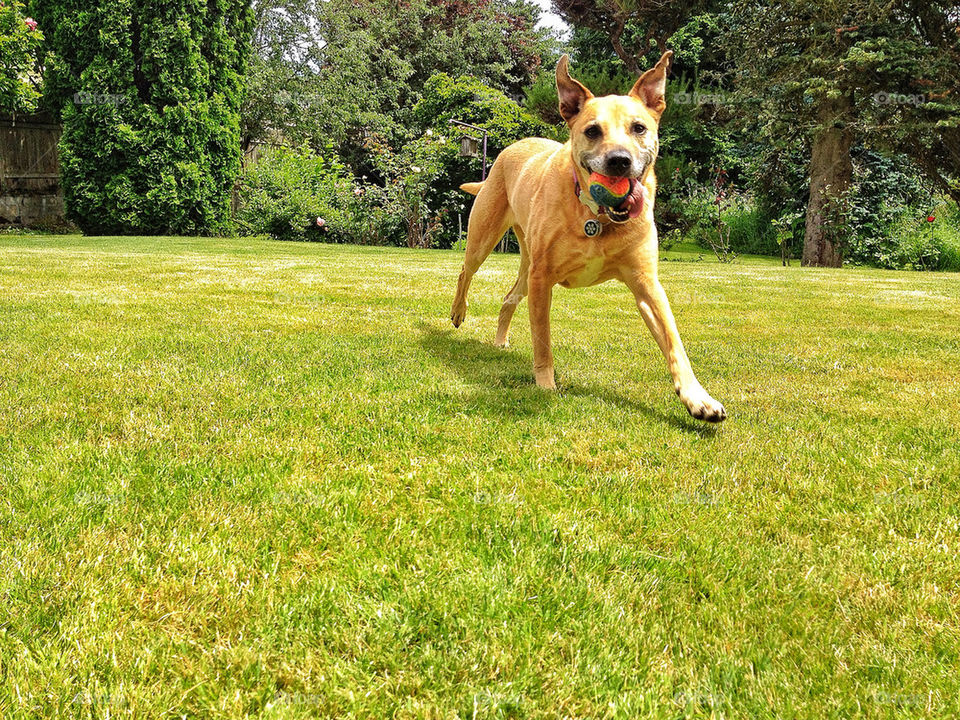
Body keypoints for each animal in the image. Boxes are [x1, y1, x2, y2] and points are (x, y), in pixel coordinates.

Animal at [454, 53, 724, 422]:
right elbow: (542, 339)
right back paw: (458, 312)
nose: (619, 161)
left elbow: (674, 341)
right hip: (485, 237)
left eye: (639, 128)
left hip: (526, 265)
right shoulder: (543, 279)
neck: (596, 217)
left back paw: (499, 342)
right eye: (592, 131)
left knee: (509, 297)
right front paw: (546, 384)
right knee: (465, 271)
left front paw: (698, 397)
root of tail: (512, 148)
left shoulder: (646, 283)